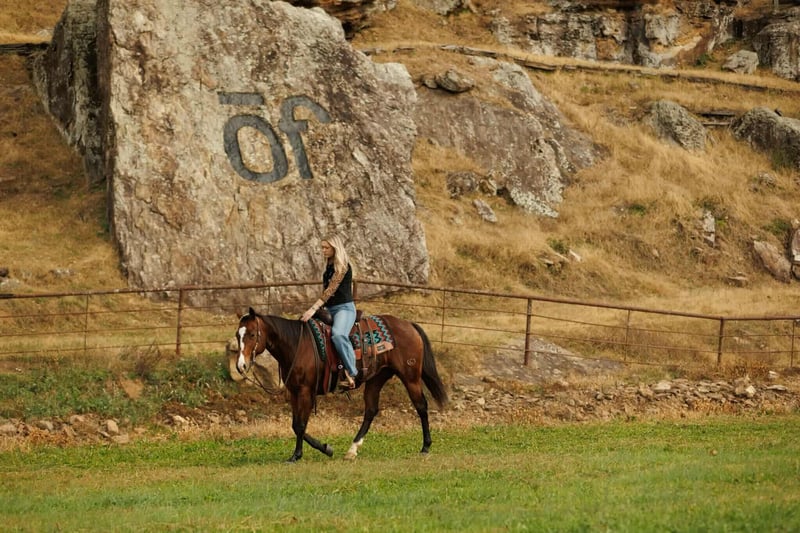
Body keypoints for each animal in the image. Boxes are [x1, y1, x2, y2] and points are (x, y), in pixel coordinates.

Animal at [235, 307, 449, 462]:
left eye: (252, 334)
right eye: (238, 335)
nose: (241, 366)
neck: (297, 344)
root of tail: (408, 324)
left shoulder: (305, 391)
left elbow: (301, 425)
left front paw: (298, 455)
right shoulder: (294, 391)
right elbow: (296, 425)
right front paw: (326, 449)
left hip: (410, 377)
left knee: (421, 406)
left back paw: (425, 446)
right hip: (376, 378)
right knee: (371, 411)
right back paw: (352, 450)